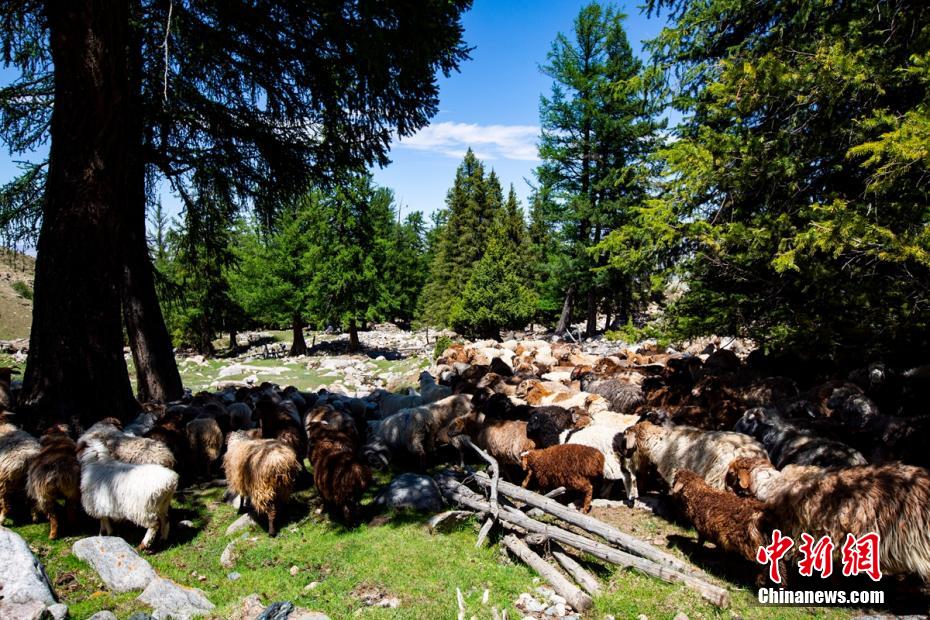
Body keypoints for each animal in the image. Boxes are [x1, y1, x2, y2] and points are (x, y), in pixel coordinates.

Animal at [616, 418, 768, 502]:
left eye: (625, 438)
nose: (623, 455)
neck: (660, 443)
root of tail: (756, 452)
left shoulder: (674, 470)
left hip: (717, 476)